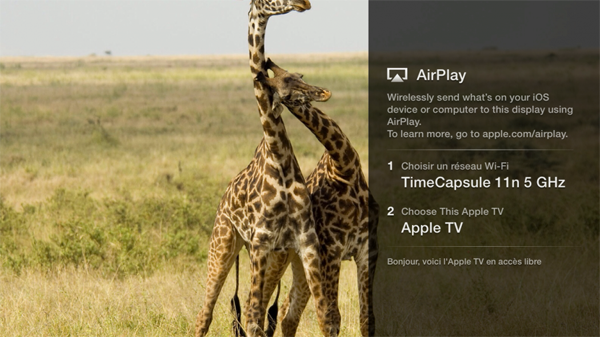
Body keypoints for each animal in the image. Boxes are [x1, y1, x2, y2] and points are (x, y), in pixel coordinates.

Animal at [196, 0, 340, 334]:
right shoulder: (260, 241)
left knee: (259, 311)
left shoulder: (306, 241)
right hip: (225, 243)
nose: (304, 2)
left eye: (301, 76)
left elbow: (324, 315)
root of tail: (223, 198)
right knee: (208, 313)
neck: (279, 157)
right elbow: (251, 317)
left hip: (276, 256)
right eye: (285, 90)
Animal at [254, 59, 380, 336]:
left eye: (295, 77)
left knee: (287, 312)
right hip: (280, 258)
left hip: (300, 263)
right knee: (262, 303)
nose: (321, 92)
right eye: (283, 91)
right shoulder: (331, 250)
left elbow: (367, 318)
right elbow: (332, 318)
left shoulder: (368, 249)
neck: (346, 168)